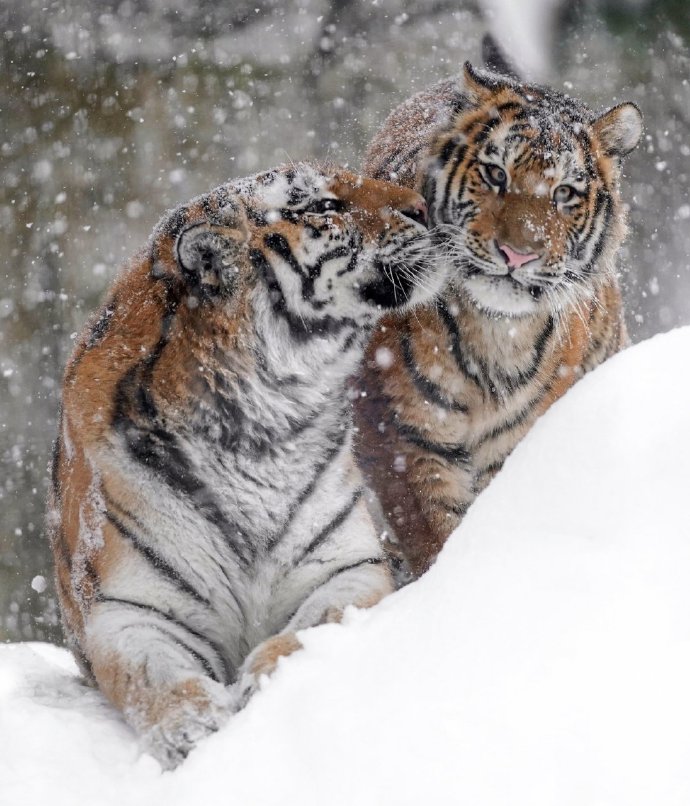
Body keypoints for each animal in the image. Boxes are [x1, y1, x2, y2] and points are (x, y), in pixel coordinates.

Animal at [48, 163, 446, 772]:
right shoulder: (130, 607)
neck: (263, 427)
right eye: (325, 206)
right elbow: (154, 677)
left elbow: (310, 628)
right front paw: (193, 728)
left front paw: (263, 686)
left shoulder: (345, 569)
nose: (423, 206)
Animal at [352, 61, 644, 580]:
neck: (493, 331)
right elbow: (431, 532)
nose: (517, 254)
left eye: (564, 193)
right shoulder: (401, 436)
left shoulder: (521, 439)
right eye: (495, 174)